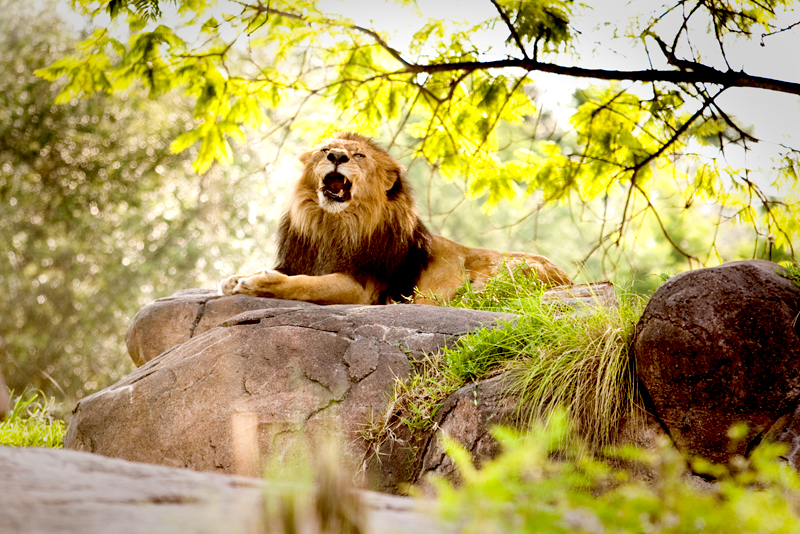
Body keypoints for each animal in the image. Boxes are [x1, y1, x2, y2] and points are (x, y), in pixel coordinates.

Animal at [219, 132, 568, 306]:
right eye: (325, 149)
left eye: (358, 155)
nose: (337, 156)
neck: (334, 225)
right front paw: (237, 277)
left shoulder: (364, 288)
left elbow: (306, 285)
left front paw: (258, 282)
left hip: (511, 268)